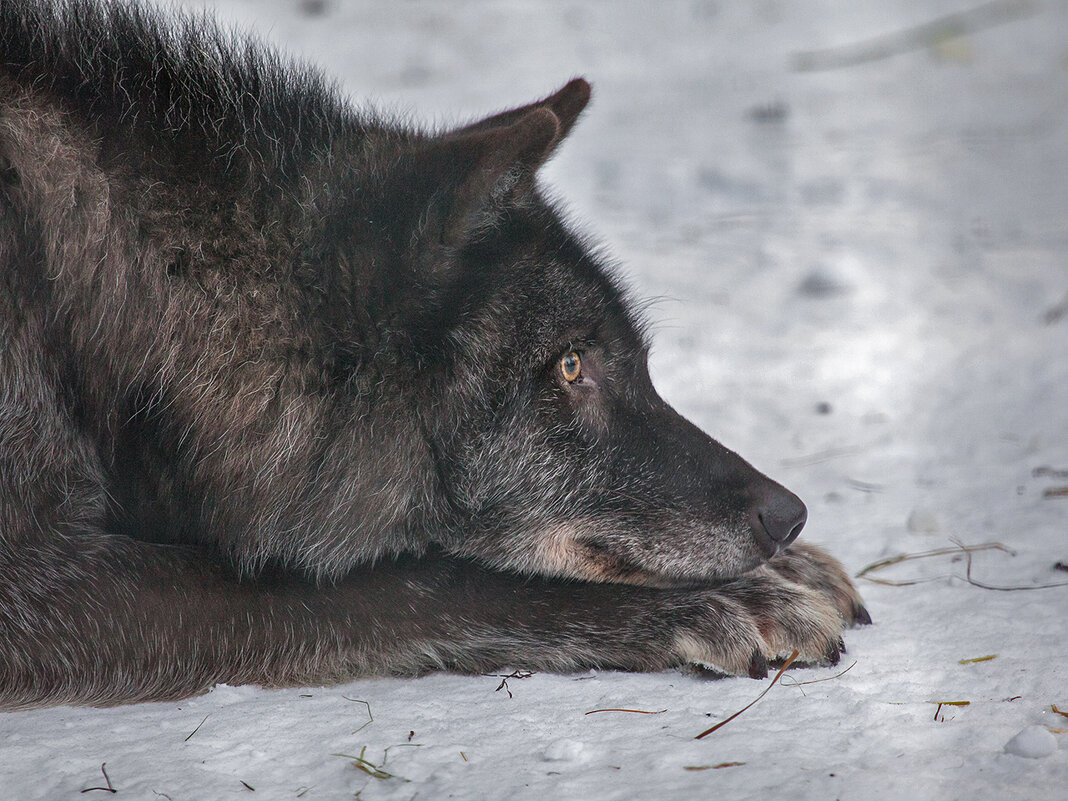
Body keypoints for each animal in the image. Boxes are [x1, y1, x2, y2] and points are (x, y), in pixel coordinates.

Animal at [0, 0, 867, 704]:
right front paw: (733, 598)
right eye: (571, 365)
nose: (786, 514)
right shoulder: (42, 589)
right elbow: (417, 580)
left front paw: (786, 569)